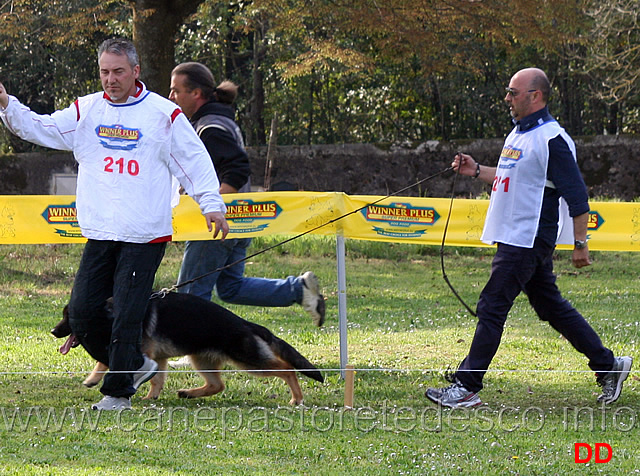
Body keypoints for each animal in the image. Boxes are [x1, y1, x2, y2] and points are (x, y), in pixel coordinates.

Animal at [52, 292, 324, 404]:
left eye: (68, 317)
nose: (54, 331)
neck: (110, 313)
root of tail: (247, 324)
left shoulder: (142, 351)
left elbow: (109, 359)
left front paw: (93, 379)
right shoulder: (158, 358)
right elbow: (156, 379)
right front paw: (152, 396)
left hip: (250, 361)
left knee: (287, 369)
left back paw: (296, 398)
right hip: (201, 360)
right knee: (217, 385)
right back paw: (188, 393)